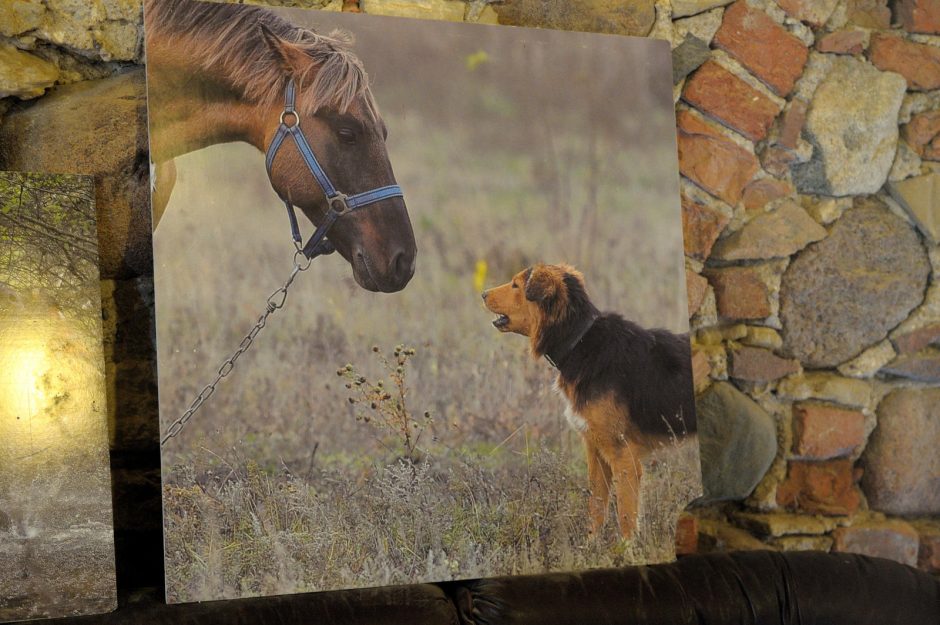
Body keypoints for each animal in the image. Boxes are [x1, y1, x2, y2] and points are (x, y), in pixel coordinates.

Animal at [484, 260, 696, 540]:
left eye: (516, 285)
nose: (482, 294)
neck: (579, 341)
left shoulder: (623, 456)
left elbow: (626, 516)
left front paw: (627, 548)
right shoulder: (595, 451)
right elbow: (596, 507)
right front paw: (592, 545)